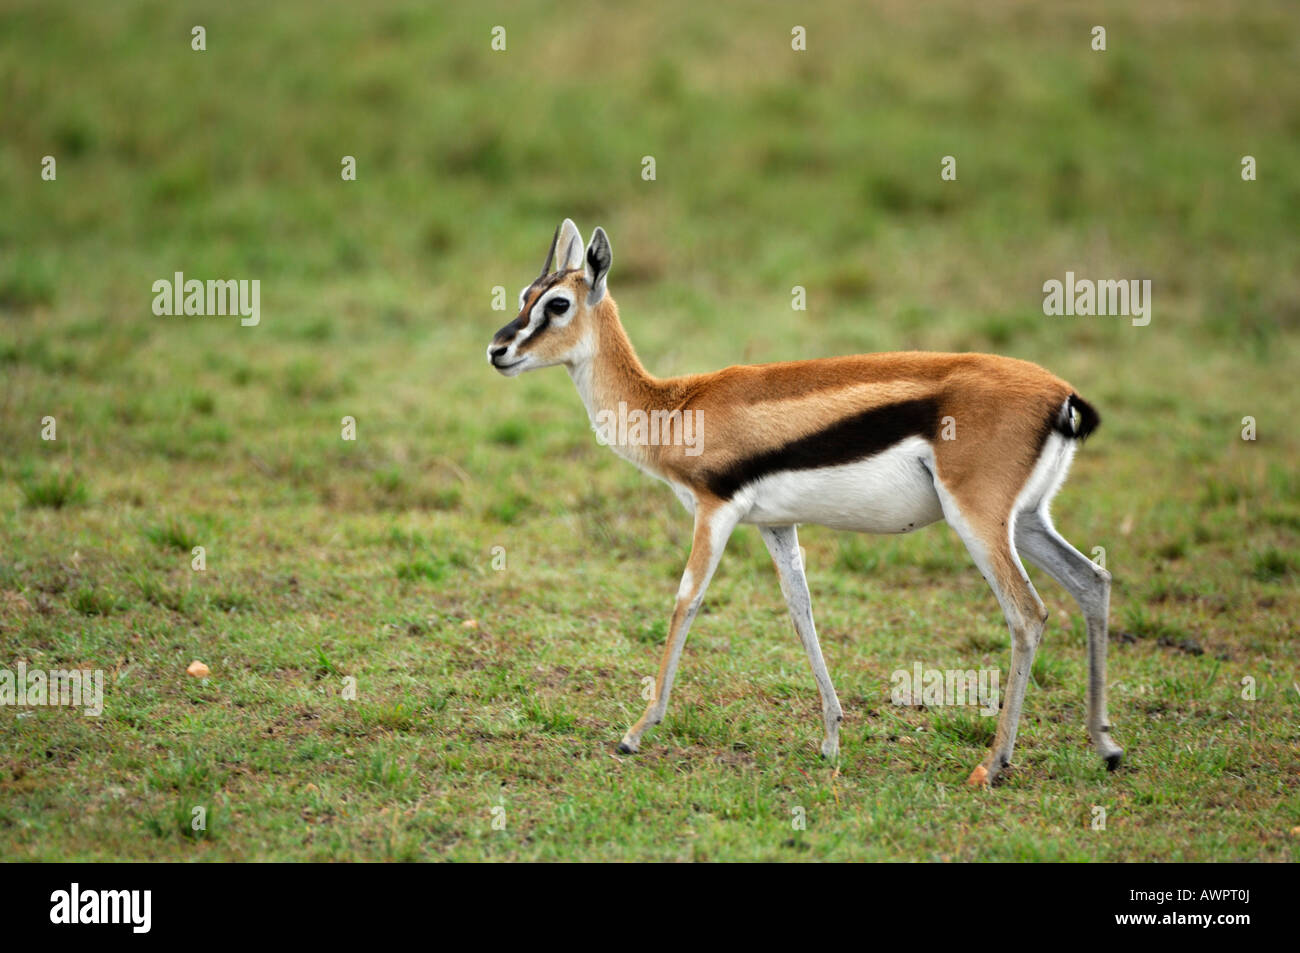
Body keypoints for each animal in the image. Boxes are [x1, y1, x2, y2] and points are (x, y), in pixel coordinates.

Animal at [487, 219, 1122, 786]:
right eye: (525, 296)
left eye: (559, 304)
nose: (498, 350)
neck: (674, 407)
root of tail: (1062, 396)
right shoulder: (776, 525)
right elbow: (801, 610)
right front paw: (832, 738)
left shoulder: (714, 511)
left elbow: (686, 601)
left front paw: (635, 732)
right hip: (1027, 521)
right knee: (1092, 581)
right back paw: (1106, 748)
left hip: (978, 521)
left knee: (1028, 614)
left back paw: (993, 765)